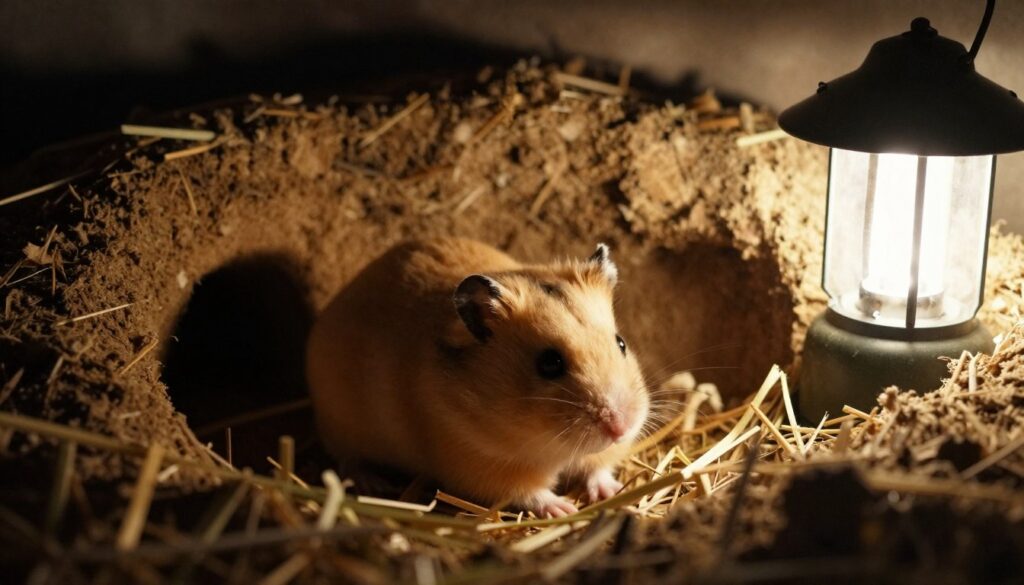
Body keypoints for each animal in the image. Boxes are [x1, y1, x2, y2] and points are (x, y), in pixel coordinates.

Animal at [306, 238, 649, 517]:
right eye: (550, 364)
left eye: (621, 343)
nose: (621, 427)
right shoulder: (484, 465)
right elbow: (530, 493)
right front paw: (563, 509)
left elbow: (599, 468)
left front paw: (613, 492)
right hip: (339, 423)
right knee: (348, 460)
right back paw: (374, 484)